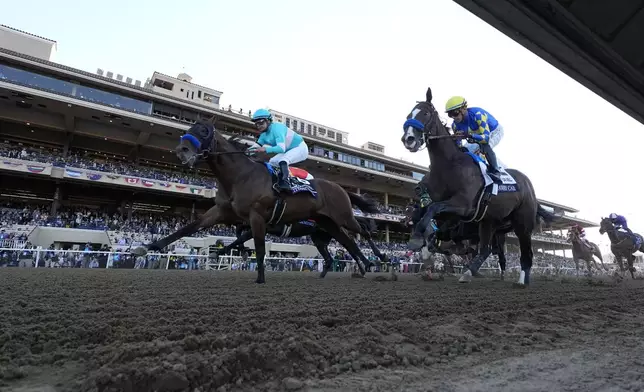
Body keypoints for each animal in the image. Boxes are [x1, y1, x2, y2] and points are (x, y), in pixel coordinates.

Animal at [400, 87, 556, 286]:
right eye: (408, 115)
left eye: (425, 113)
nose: (409, 139)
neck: (449, 165)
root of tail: (528, 184)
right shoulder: (449, 211)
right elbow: (427, 212)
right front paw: (423, 243)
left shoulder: (464, 206)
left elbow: (433, 209)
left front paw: (418, 238)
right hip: (488, 222)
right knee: (486, 249)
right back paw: (469, 272)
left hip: (523, 224)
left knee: (526, 253)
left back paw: (521, 281)